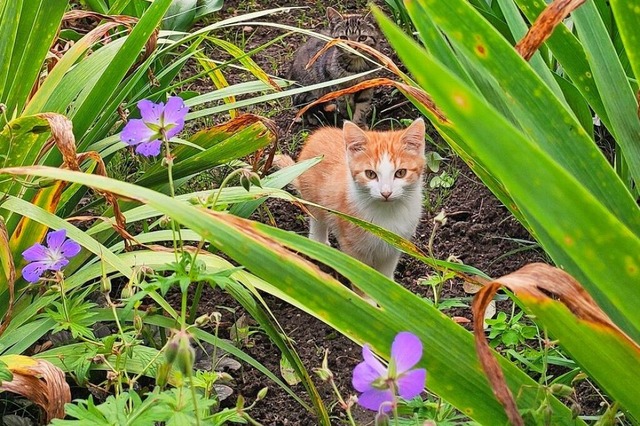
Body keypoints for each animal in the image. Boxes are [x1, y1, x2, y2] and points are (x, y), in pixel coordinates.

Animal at [276, 118, 424, 294]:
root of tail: (319, 133)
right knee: (318, 220)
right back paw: (319, 244)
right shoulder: (352, 245)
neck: (387, 213)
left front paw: (388, 291)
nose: (386, 193)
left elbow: (386, 270)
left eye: (400, 173)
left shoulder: (396, 243)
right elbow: (361, 276)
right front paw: (367, 299)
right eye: (370, 174)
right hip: (313, 199)